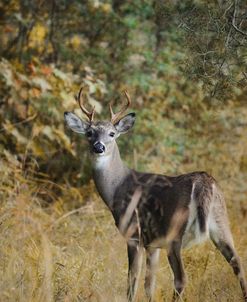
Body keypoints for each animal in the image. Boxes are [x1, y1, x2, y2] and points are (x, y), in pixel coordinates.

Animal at [64, 88, 247, 300]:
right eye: (89, 133)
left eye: (112, 133)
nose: (98, 147)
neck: (118, 187)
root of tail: (205, 182)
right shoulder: (153, 244)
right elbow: (149, 284)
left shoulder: (134, 234)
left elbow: (132, 281)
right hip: (221, 222)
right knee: (238, 263)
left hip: (175, 231)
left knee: (181, 278)